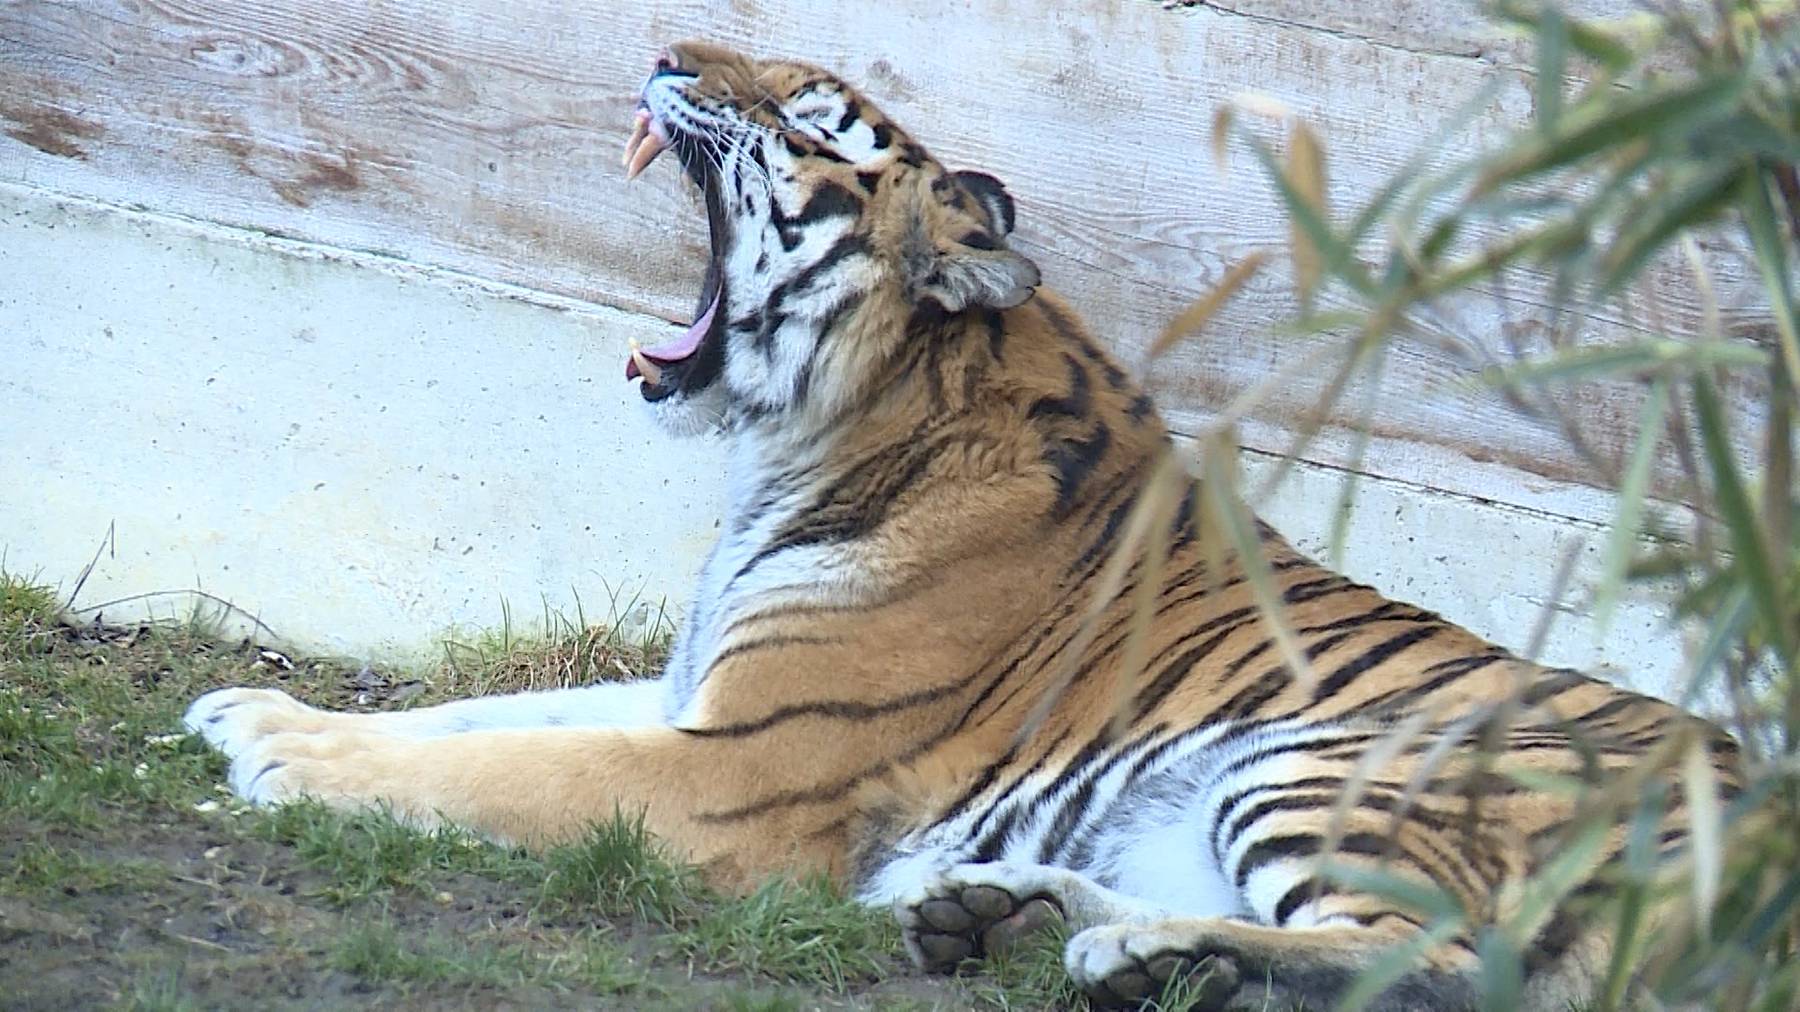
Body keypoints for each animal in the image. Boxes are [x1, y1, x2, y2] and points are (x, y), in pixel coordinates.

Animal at [186, 43, 1742, 1001]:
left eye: (804, 122)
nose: (669, 53)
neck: (808, 437)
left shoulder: (737, 765)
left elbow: (502, 770)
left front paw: (285, 760)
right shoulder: (693, 693)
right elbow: (483, 717)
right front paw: (250, 709)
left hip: (1337, 767)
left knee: (1434, 964)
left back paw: (1143, 957)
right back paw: (1009, 915)